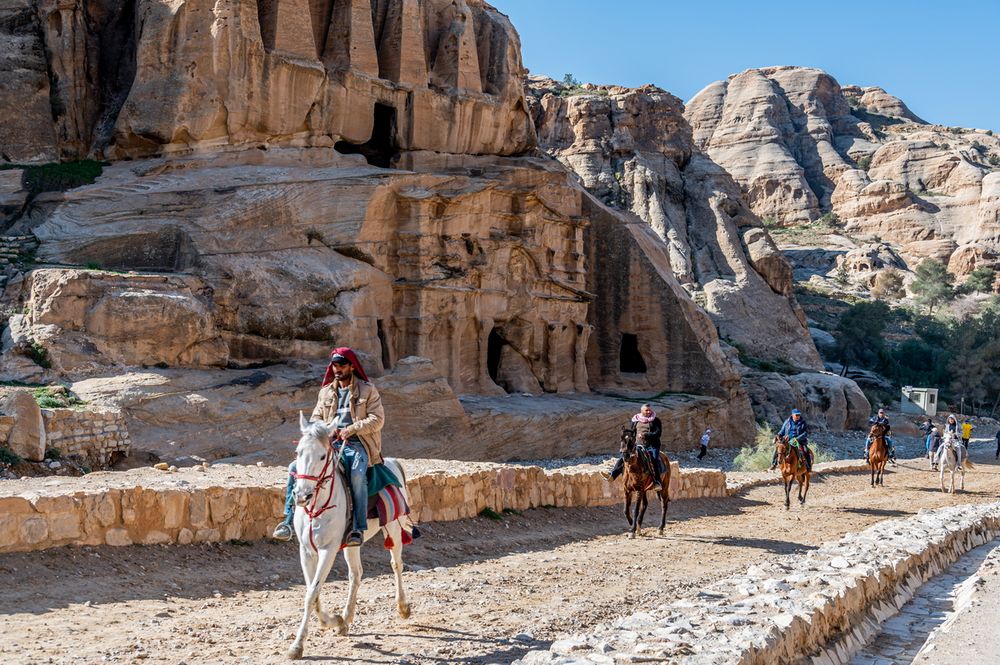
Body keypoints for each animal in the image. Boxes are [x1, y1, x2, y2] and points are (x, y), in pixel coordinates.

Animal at [288, 416, 412, 660]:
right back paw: (346, 618)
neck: (316, 507)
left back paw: (402, 607)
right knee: (356, 574)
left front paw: (297, 646)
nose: (301, 495)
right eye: (298, 452)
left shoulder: (327, 549)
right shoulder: (306, 551)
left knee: (396, 564)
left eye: (322, 456)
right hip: (352, 544)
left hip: (393, 527)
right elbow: (313, 592)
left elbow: (312, 593)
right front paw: (334, 620)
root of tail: (392, 461)